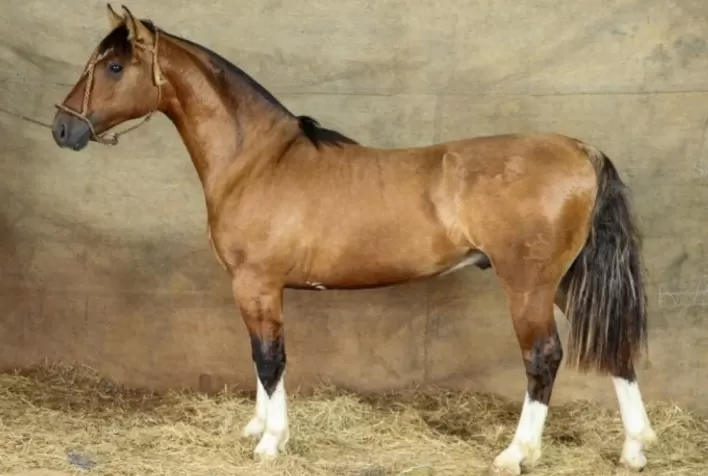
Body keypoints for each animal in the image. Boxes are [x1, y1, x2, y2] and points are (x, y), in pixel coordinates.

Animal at [50, 5, 657, 474]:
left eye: (114, 66)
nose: (62, 128)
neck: (258, 161)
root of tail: (579, 149)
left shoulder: (257, 284)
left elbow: (269, 359)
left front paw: (271, 442)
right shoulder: (257, 289)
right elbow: (261, 358)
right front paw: (256, 428)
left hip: (527, 286)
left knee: (543, 357)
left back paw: (517, 453)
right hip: (565, 282)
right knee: (616, 352)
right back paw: (634, 449)